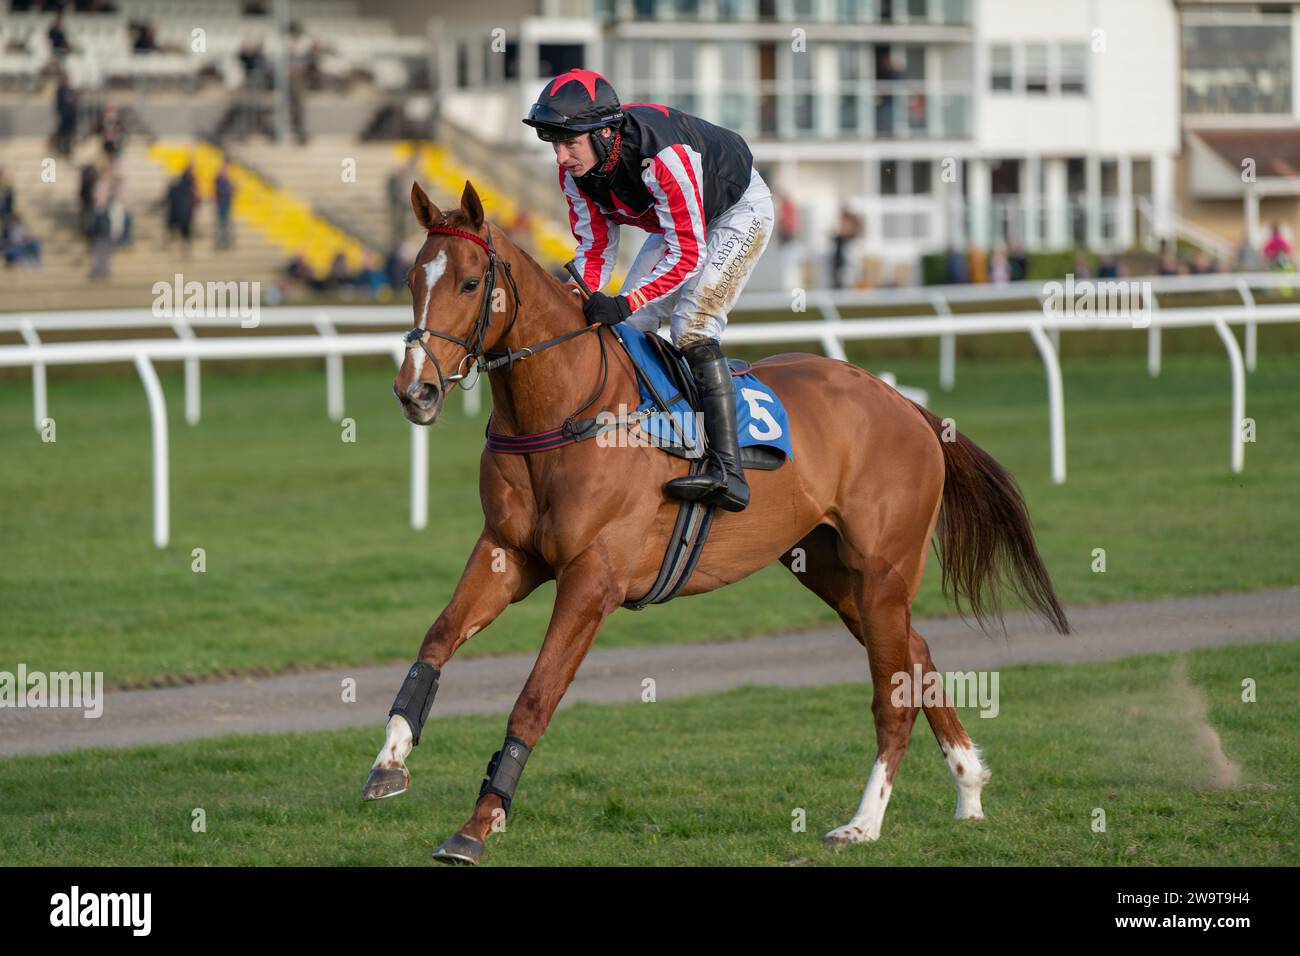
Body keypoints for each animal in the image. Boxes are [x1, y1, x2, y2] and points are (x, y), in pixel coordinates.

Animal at [364, 179, 1066, 868]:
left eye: (469, 282)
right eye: (412, 280)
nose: (415, 392)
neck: (567, 409)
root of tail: (907, 406)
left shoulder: (594, 578)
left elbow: (534, 698)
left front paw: (478, 825)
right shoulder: (507, 552)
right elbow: (436, 640)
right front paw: (389, 762)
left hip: (883, 570)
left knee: (891, 693)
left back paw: (863, 823)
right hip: (829, 568)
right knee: (915, 655)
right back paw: (968, 786)